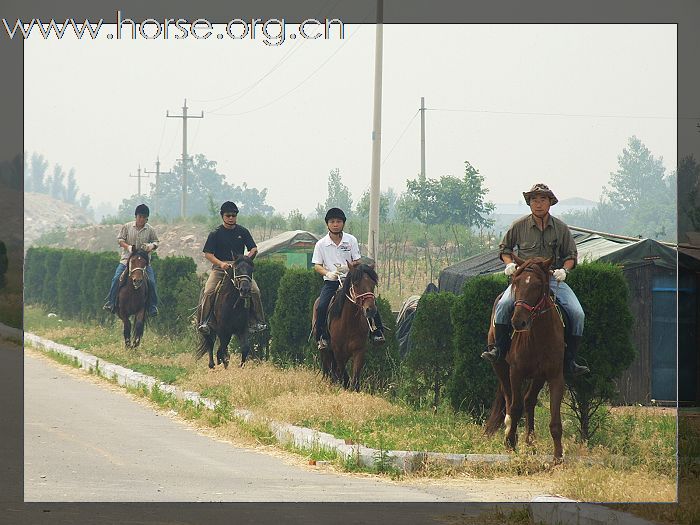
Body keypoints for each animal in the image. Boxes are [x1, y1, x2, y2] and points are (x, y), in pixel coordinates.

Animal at [484, 256, 568, 460]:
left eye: (538, 285)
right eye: (516, 282)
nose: (518, 322)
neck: (538, 336)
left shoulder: (555, 376)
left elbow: (555, 420)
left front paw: (558, 456)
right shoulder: (516, 372)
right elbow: (515, 407)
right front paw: (510, 443)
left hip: (538, 376)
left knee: (529, 399)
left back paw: (531, 441)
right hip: (500, 367)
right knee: (509, 400)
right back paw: (509, 432)